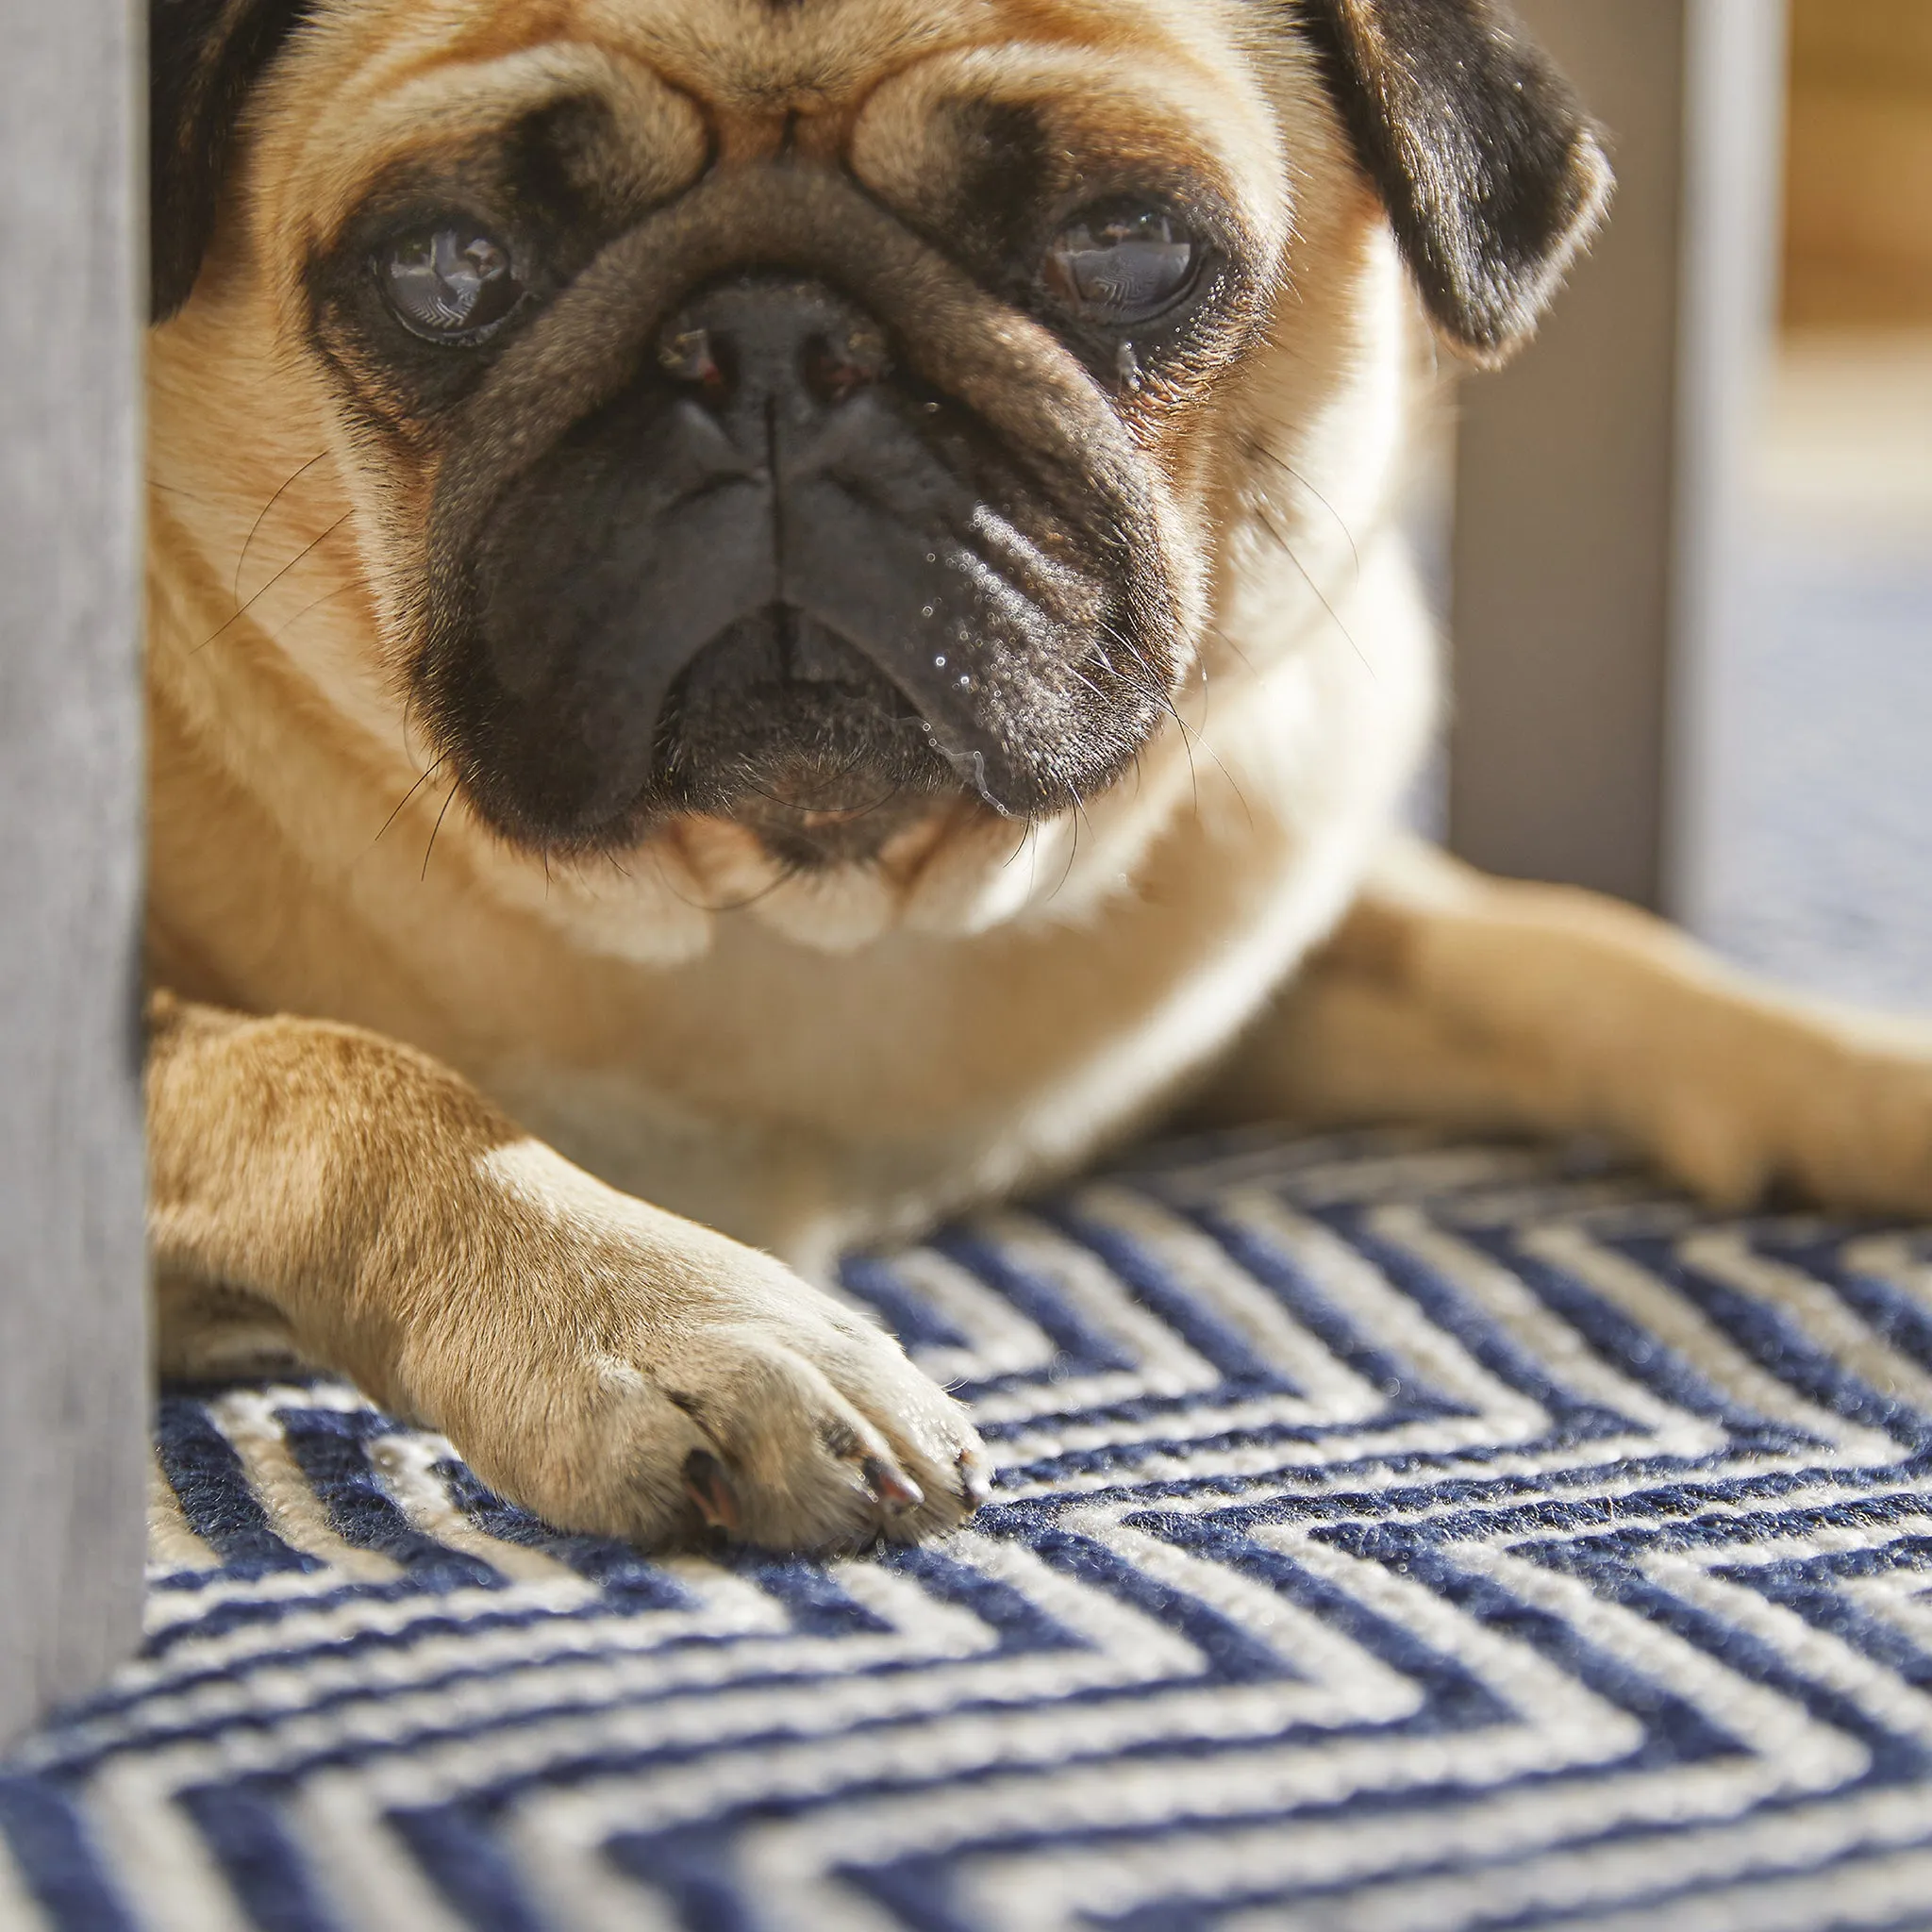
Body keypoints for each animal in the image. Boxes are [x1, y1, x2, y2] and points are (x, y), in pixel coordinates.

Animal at [146, 0, 1932, 1545]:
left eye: (1126, 247)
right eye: (448, 269)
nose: (772, 340)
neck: (794, 914)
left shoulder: (1260, 966)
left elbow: (1578, 953)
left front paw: (1863, 1073)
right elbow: (339, 1083)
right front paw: (662, 1316)